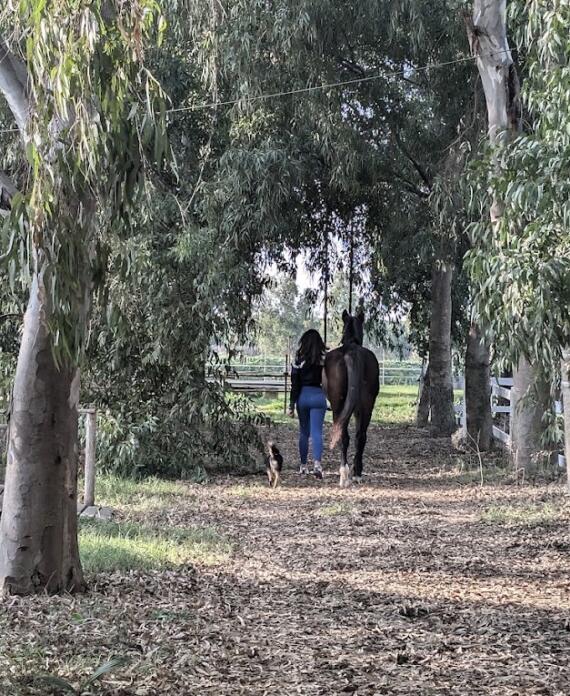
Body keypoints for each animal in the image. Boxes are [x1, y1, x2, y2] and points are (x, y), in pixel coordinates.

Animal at [324, 312, 378, 486]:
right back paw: (357, 474)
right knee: (360, 436)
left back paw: (345, 474)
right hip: (367, 405)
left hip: (339, 405)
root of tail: (351, 352)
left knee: (343, 436)